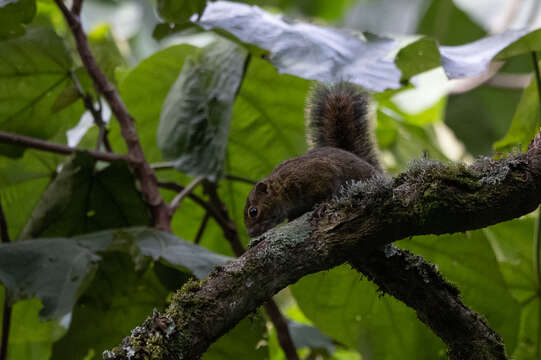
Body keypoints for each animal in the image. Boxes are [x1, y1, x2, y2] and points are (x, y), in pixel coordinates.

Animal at [243, 82, 382, 238]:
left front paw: (323, 205)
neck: (282, 186)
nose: (251, 234)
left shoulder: (316, 173)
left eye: (253, 212)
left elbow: (330, 189)